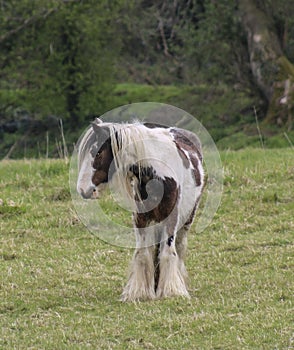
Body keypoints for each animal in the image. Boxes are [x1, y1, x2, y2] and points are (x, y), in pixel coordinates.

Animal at [76, 117, 204, 300]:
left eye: (97, 153)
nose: (82, 189)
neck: (158, 175)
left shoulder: (171, 218)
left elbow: (168, 252)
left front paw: (171, 291)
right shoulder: (140, 218)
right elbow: (143, 254)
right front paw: (140, 292)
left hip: (187, 218)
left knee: (179, 248)